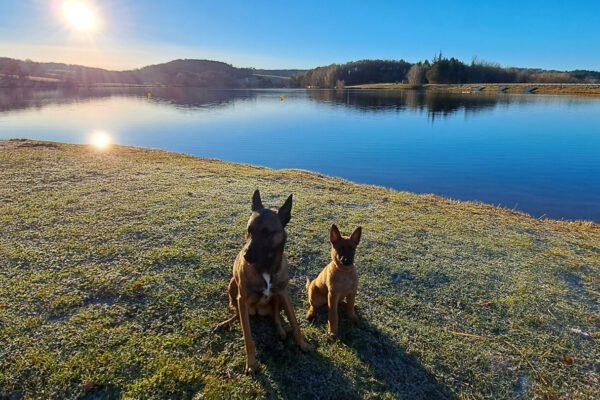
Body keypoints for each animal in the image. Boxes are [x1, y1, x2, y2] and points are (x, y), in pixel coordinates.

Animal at [214, 189, 312, 374]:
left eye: (267, 233)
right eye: (249, 229)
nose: (245, 256)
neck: (265, 267)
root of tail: (258, 312)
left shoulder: (284, 293)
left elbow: (295, 322)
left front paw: (303, 344)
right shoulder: (242, 299)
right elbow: (248, 337)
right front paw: (251, 363)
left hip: (277, 299)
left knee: (275, 315)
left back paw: (281, 330)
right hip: (232, 287)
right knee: (237, 314)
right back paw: (225, 323)